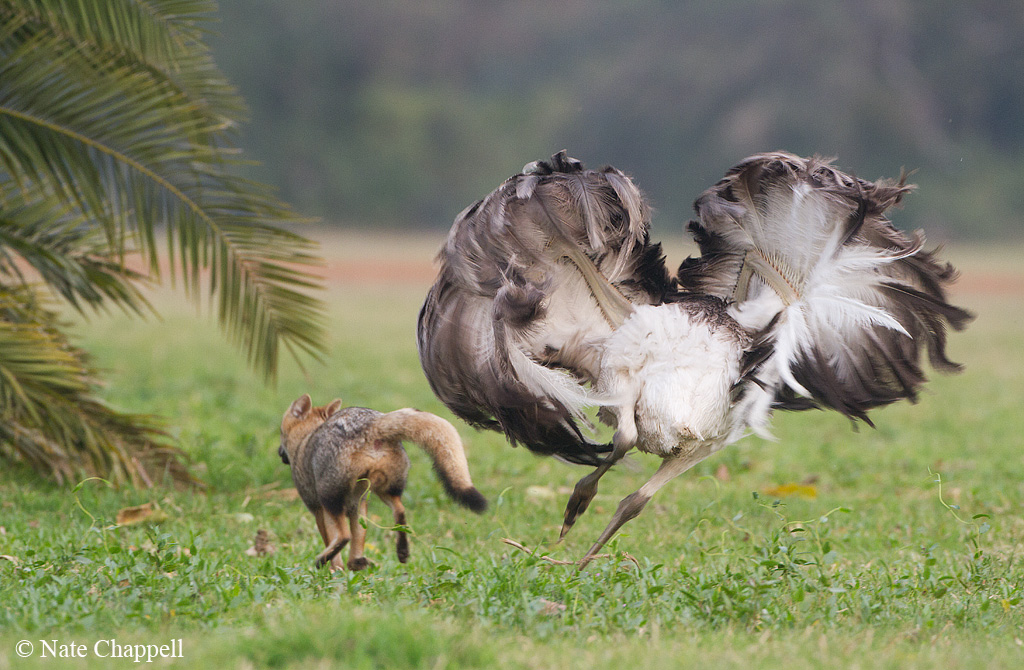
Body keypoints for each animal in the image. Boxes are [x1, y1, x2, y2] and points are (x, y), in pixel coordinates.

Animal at [278, 394, 487, 571]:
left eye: (280, 433)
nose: (280, 453)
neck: (305, 439)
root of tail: (373, 424)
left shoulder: (318, 508)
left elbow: (334, 542)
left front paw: (335, 569)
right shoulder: (356, 505)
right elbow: (356, 544)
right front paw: (353, 564)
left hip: (331, 498)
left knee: (344, 536)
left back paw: (322, 560)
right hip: (383, 492)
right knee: (400, 512)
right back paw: (400, 551)